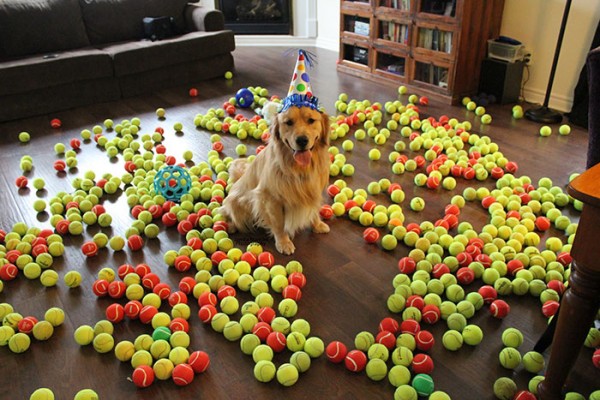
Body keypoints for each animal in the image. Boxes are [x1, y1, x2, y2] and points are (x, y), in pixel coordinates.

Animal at [218, 104, 330, 255]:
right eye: (289, 122)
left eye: (311, 120)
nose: (302, 140)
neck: (298, 170)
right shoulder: (270, 199)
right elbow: (278, 224)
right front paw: (283, 242)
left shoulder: (313, 192)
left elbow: (314, 210)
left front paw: (317, 225)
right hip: (237, 202)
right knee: (227, 211)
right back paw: (231, 225)